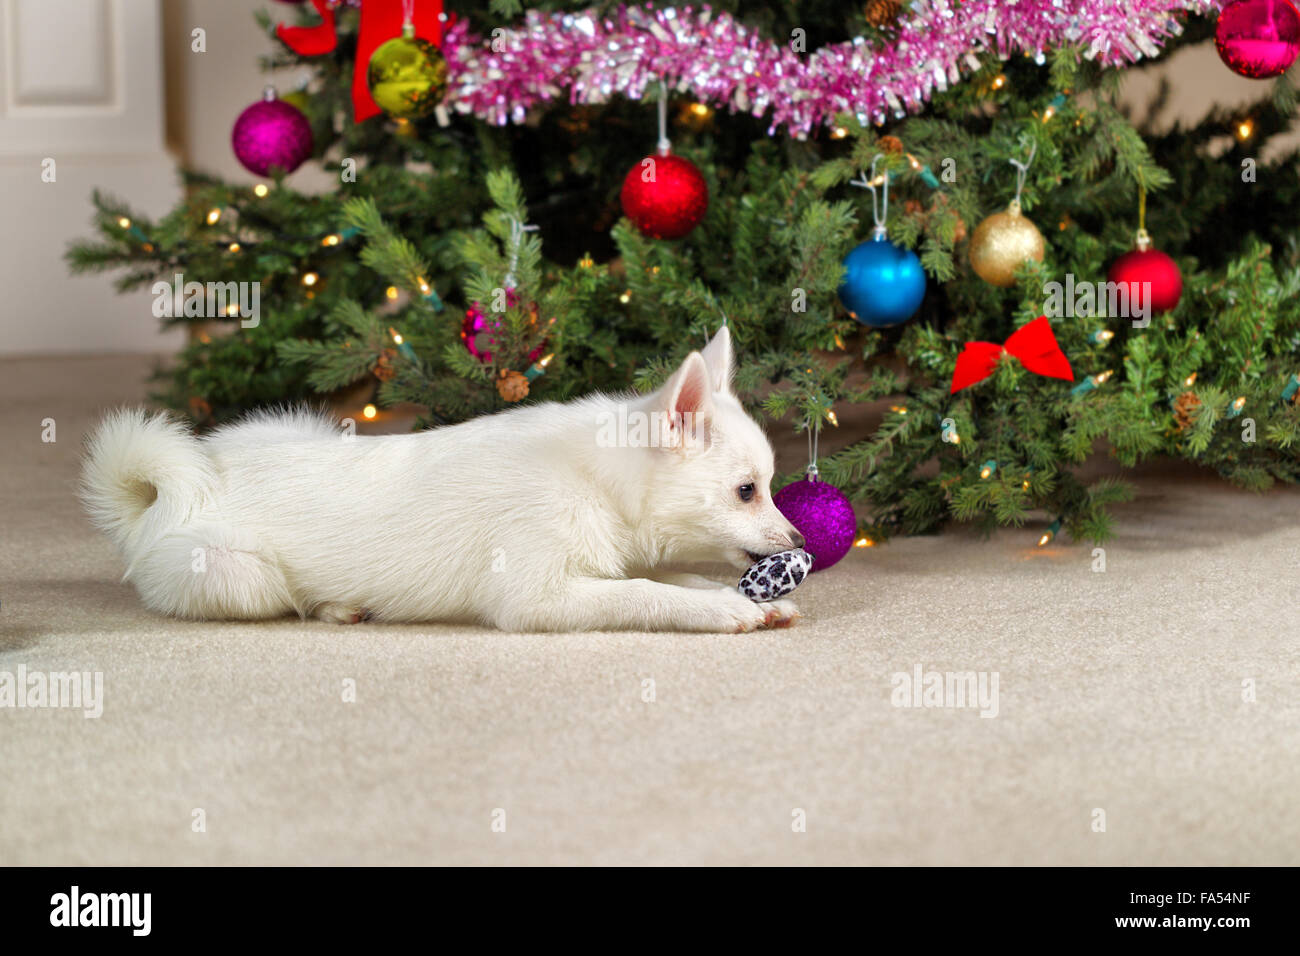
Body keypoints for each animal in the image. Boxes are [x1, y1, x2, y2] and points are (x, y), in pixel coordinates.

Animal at [81, 329, 800, 634]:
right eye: (747, 490)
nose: (800, 540)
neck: (597, 480)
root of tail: (152, 501)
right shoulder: (536, 599)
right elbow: (646, 593)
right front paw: (724, 609)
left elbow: (673, 576)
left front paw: (746, 598)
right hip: (236, 574)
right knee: (281, 597)